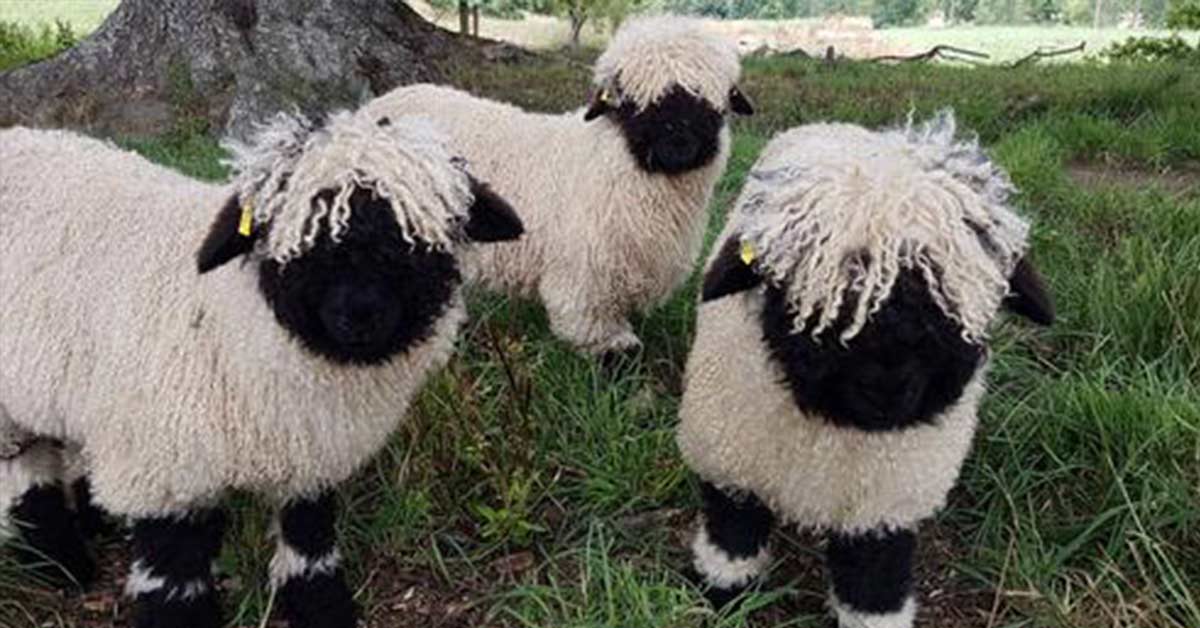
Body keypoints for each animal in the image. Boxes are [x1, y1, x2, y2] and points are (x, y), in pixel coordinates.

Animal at [0, 111, 523, 628]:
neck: (231, 324)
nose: (360, 316)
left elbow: (309, 544)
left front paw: (322, 610)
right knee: (27, 474)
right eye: (301, 240)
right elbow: (174, 576)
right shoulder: (163, 466)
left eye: (417, 241)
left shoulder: (307, 452)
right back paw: (60, 563)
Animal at [675, 111, 1055, 628]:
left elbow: (873, 577)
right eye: (808, 296)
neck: (833, 434)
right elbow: (732, 534)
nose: (887, 388)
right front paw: (723, 595)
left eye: (949, 302)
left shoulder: (886, 502)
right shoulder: (730, 461)